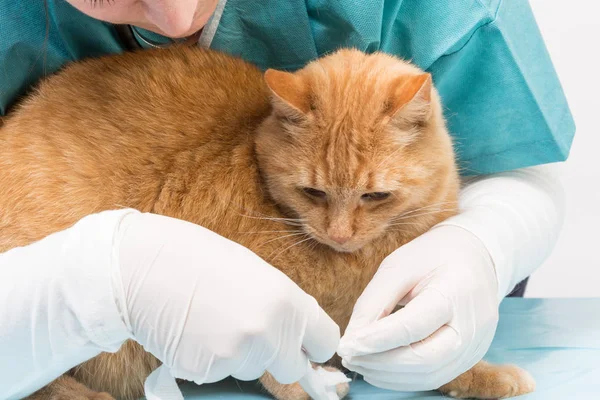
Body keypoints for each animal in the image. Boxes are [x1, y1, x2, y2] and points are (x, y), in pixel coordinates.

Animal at [0, 47, 536, 400]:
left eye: (374, 196)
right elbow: (282, 361)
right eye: (313, 192)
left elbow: (431, 351)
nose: (339, 234)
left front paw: (480, 374)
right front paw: (306, 386)